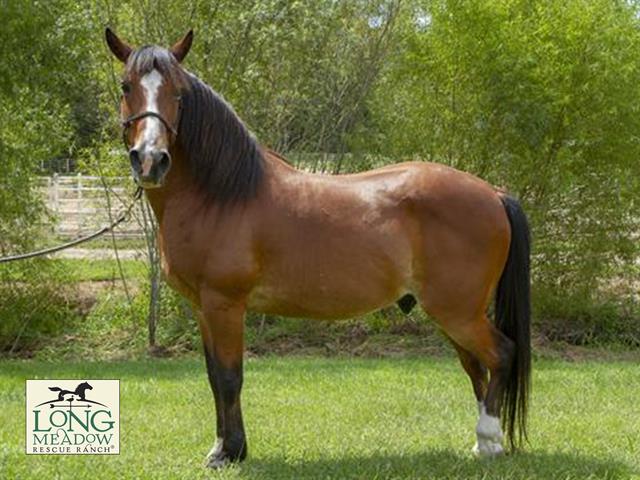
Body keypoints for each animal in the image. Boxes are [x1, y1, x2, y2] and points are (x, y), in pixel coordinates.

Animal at [107, 28, 532, 466]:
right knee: (476, 366)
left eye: (178, 93)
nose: (150, 160)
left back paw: (489, 438)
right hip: (455, 315)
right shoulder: (202, 307)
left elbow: (229, 376)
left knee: (501, 354)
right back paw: (483, 444)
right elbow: (212, 376)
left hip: (458, 312)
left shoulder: (224, 304)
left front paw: (231, 451)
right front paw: (222, 446)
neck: (221, 194)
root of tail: (494, 193)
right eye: (126, 86)